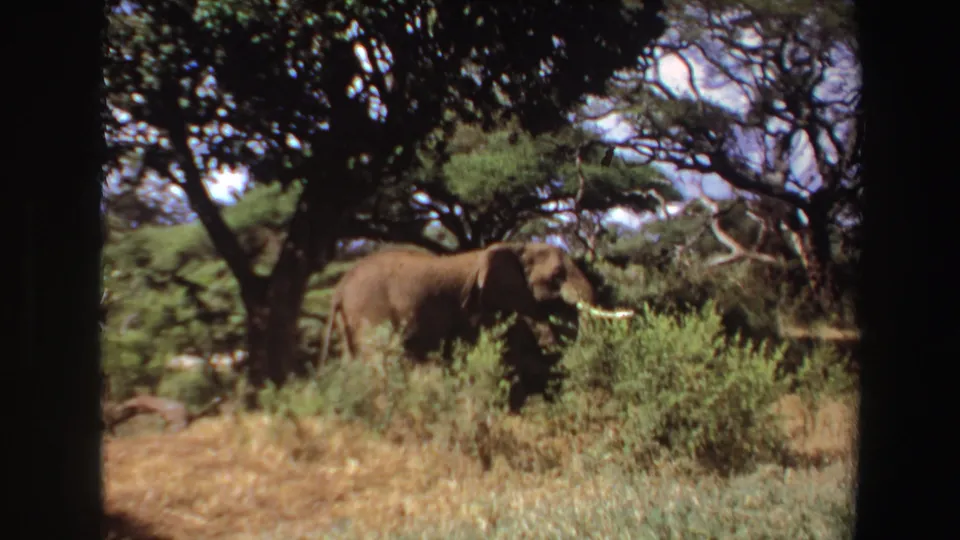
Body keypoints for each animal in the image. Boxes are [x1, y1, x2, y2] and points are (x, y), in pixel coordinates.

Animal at [319, 241, 631, 410]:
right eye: (556, 275)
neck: (517, 246)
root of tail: (339, 288)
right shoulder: (481, 304)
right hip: (371, 311)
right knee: (381, 363)